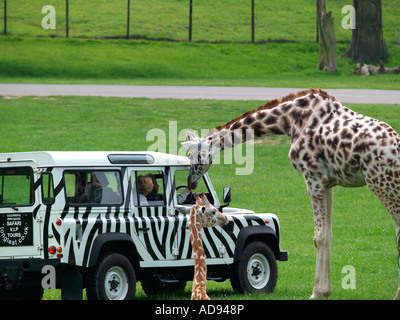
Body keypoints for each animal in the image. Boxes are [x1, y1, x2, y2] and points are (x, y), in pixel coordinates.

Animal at [183, 88, 400, 300]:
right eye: (188, 156)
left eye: (196, 155)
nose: (190, 183)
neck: (289, 120)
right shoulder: (328, 182)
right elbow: (328, 234)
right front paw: (326, 292)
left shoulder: (312, 177)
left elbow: (319, 236)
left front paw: (315, 293)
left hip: (381, 182)